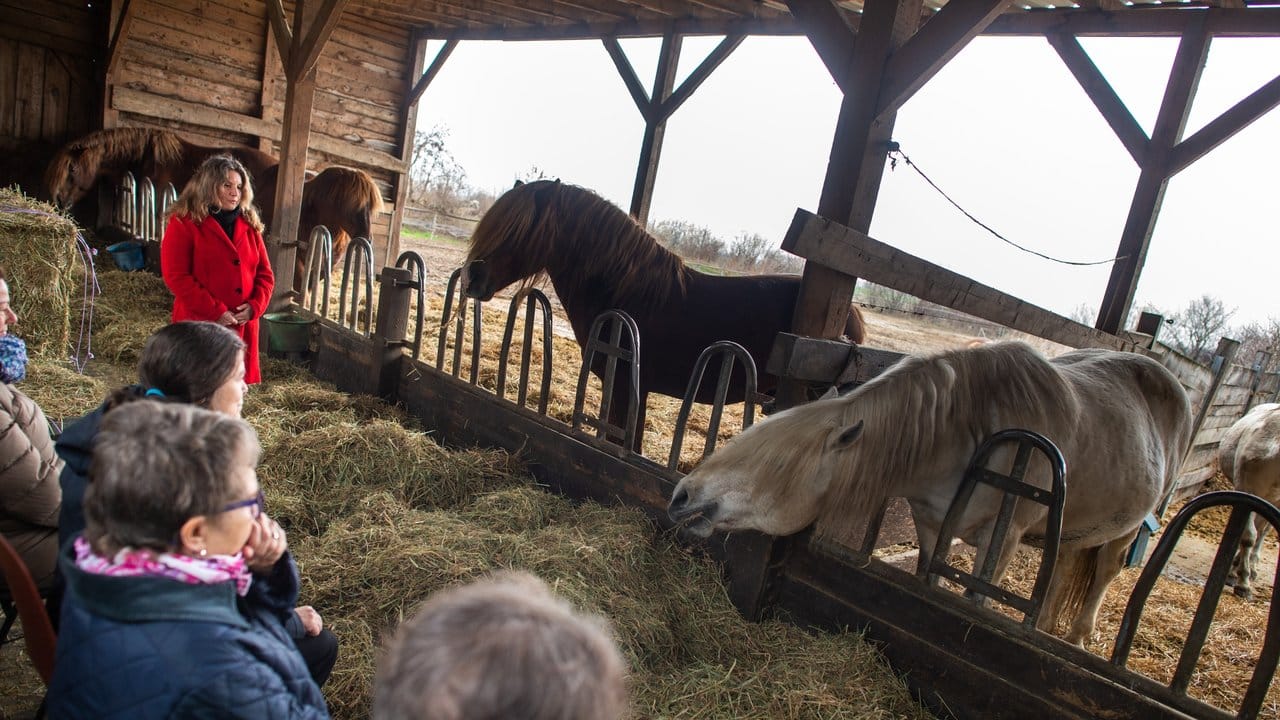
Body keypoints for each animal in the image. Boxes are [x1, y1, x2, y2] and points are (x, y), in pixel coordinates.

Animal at [665, 338, 1192, 640]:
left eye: (774, 464)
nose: (682, 496)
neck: (971, 432)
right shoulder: (932, 525)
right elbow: (929, 586)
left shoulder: (1000, 543)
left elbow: (974, 603)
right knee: (1063, 567)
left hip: (1124, 534)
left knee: (1103, 574)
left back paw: (1077, 638)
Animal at [1218, 399, 1280, 597]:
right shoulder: (1247, 492)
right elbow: (1247, 536)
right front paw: (1240, 581)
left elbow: (1256, 534)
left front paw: (1243, 576)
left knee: (1263, 531)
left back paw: (1251, 566)